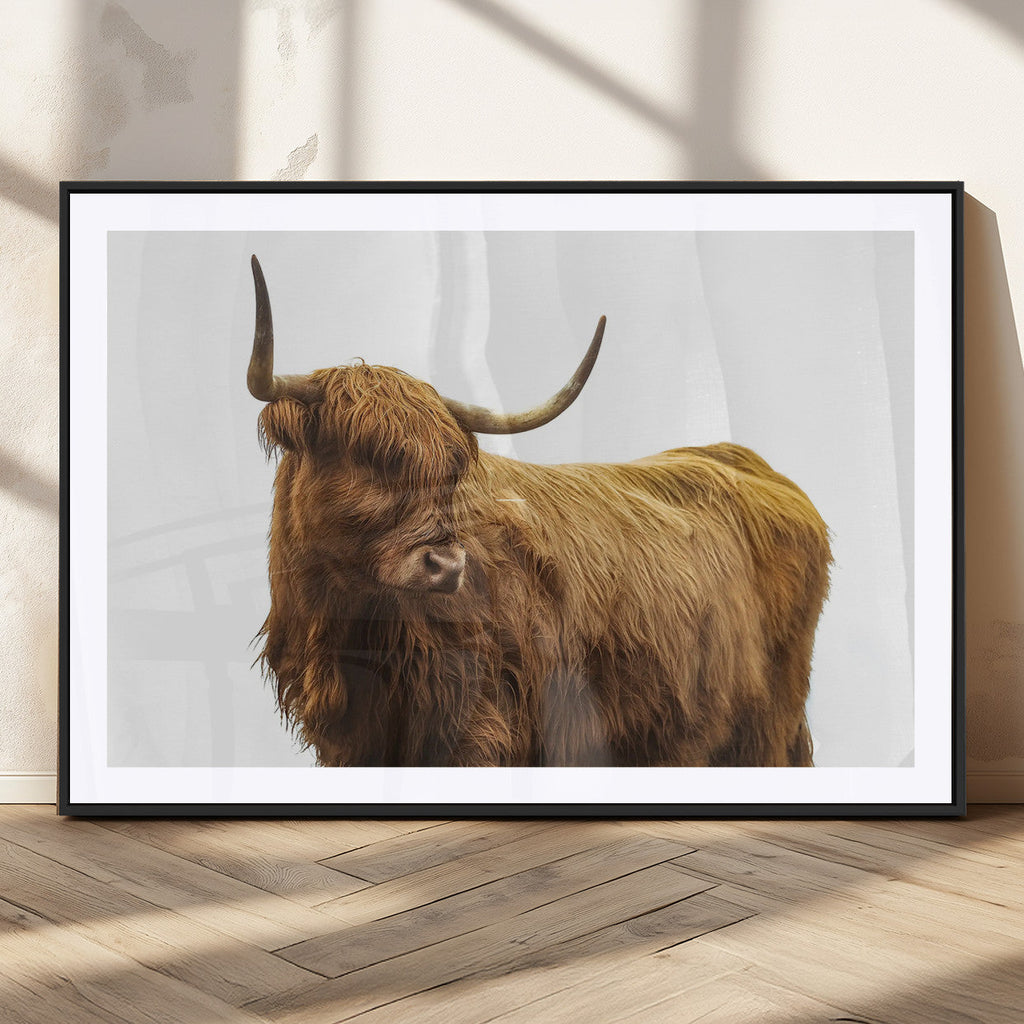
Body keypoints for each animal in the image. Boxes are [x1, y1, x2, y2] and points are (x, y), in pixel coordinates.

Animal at [248, 255, 831, 768]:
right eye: (365, 457)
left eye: (454, 469)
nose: (447, 565)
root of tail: (742, 459)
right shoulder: (350, 741)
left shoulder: (480, 725)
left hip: (766, 717)